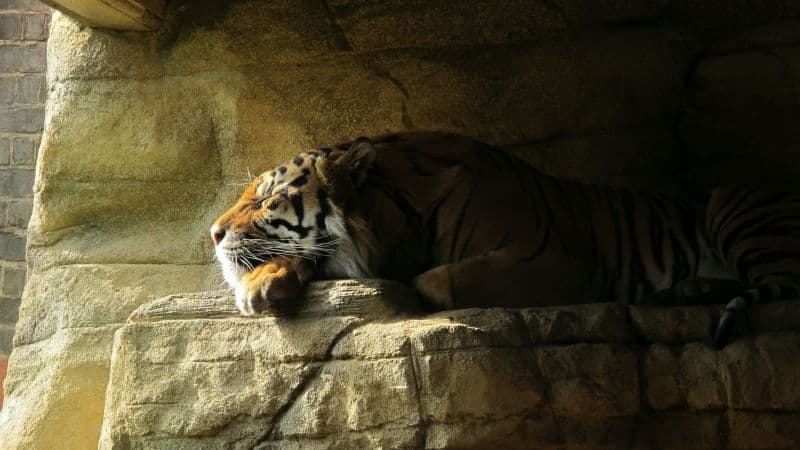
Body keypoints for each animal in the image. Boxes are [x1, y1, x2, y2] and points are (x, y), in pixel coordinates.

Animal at [210, 132, 800, 347]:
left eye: (266, 200)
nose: (213, 233)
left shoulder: (560, 260)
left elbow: (439, 280)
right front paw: (262, 282)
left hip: (733, 205)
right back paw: (685, 291)